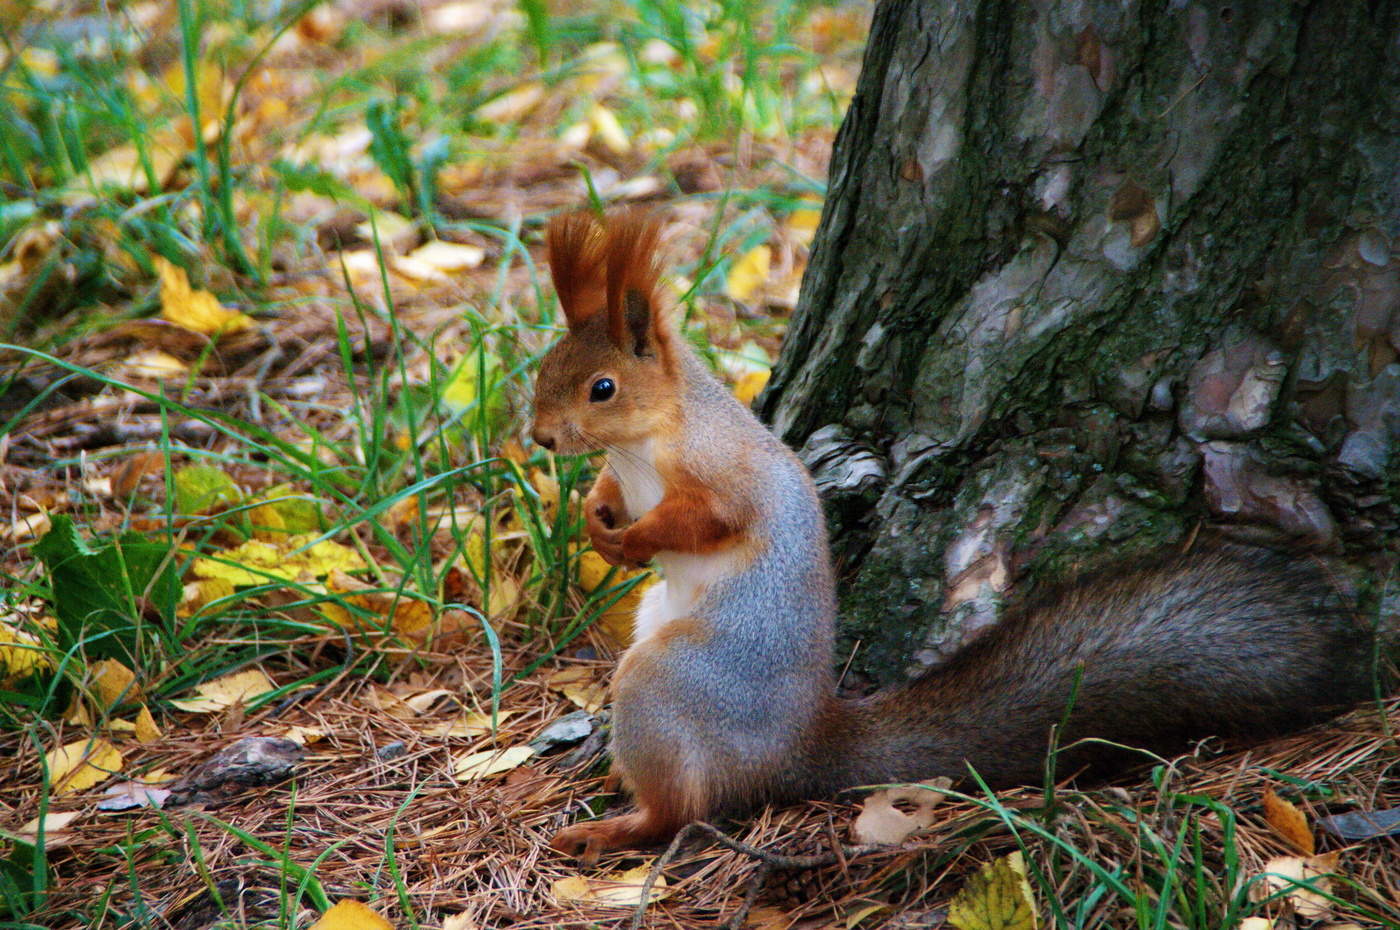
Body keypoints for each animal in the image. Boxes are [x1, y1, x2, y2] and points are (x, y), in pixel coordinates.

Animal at [530, 209, 1379, 862]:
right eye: (543, 369)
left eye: (602, 388)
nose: (537, 437)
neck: (644, 445)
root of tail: (801, 747)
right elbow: (610, 495)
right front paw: (597, 518)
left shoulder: (723, 474)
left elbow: (708, 520)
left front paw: (633, 539)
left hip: (669, 685)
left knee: (684, 810)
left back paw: (614, 827)